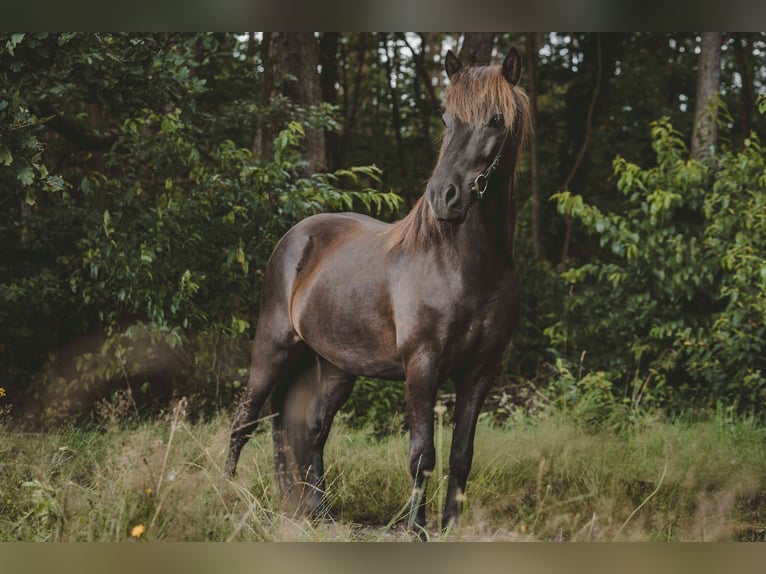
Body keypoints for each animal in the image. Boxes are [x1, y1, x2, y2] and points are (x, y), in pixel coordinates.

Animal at [225, 46, 532, 540]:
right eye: (446, 117)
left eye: (496, 120)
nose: (444, 198)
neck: (462, 265)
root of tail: (296, 235)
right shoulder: (422, 367)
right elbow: (422, 454)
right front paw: (417, 529)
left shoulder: (481, 372)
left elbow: (461, 455)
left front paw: (450, 526)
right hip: (271, 347)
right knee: (244, 420)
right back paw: (228, 495)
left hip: (335, 366)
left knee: (313, 429)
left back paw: (322, 513)